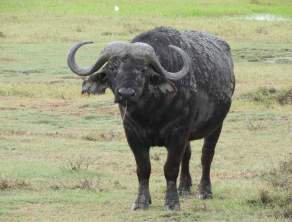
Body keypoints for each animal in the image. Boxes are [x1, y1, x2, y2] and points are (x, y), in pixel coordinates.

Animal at [67, 26, 236, 211]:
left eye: (143, 69)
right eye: (112, 68)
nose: (126, 93)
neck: (150, 113)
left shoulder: (179, 131)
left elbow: (171, 168)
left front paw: (171, 202)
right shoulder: (132, 132)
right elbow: (143, 168)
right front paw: (141, 201)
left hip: (216, 125)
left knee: (206, 156)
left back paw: (205, 191)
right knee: (187, 154)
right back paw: (184, 187)